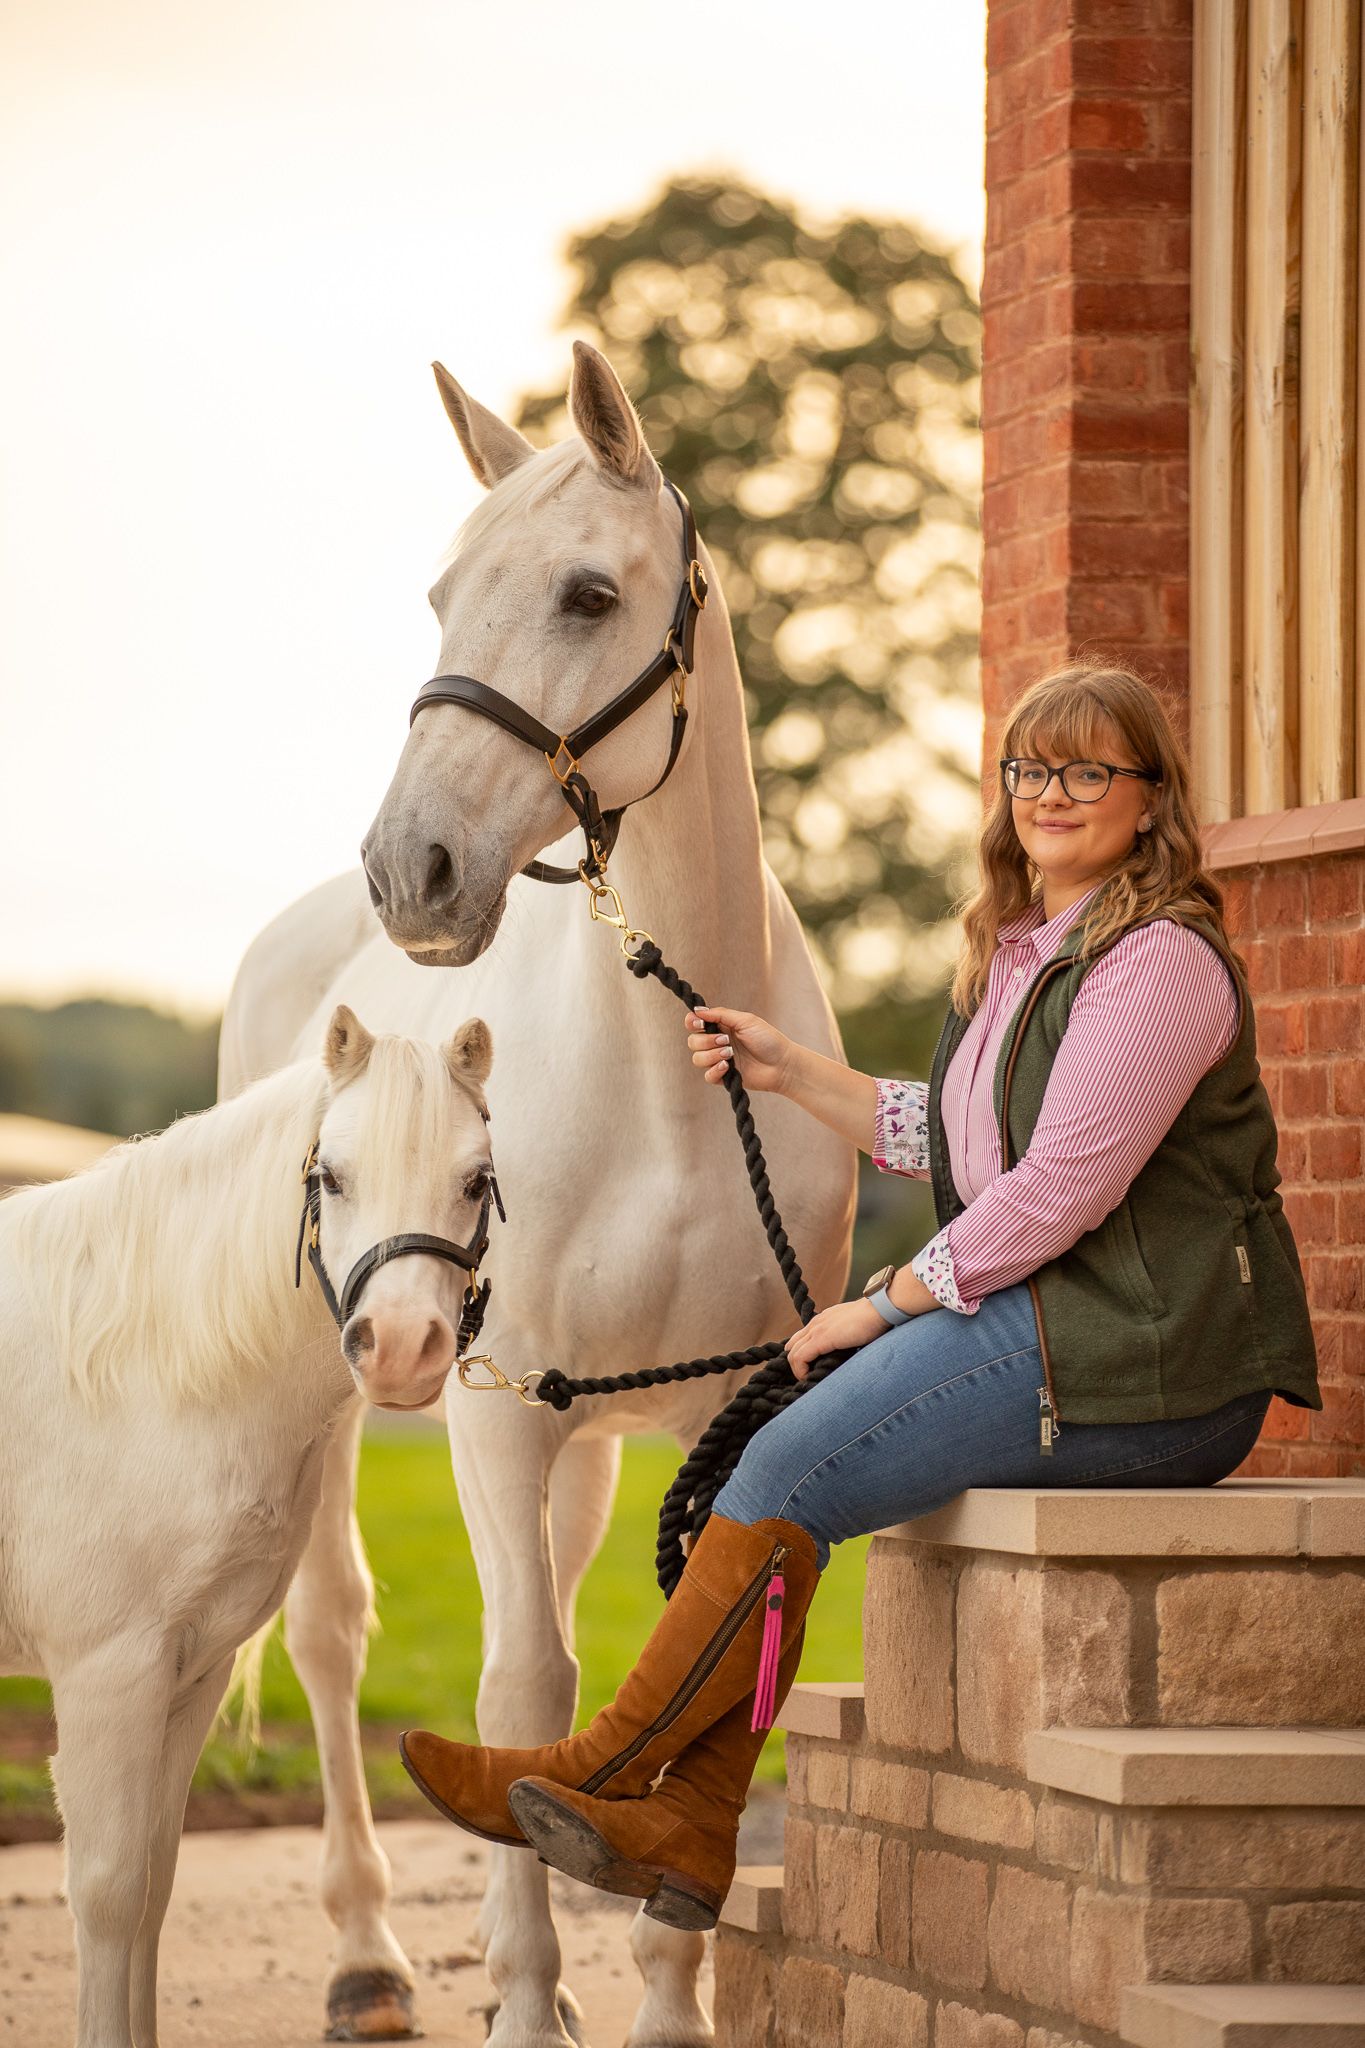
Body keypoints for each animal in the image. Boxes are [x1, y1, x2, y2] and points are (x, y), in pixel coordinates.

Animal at [0, 1005, 499, 2048]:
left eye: (476, 1179)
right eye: (330, 1176)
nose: (400, 1349)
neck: (134, 1373)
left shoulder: (189, 1673)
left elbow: (153, 1890)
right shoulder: (107, 1678)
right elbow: (109, 1895)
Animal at [218, 340, 857, 2048]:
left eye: (585, 592)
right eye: (442, 595)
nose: (414, 870)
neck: (670, 1090)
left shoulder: (717, 1414)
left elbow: (678, 1672)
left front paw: (662, 2008)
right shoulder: (495, 1415)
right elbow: (521, 1685)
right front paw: (520, 2000)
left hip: (584, 1446)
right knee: (333, 1630)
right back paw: (368, 1955)